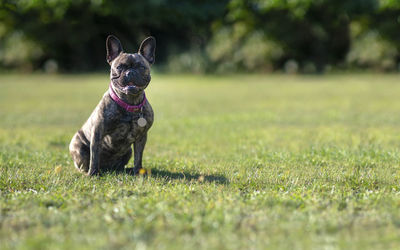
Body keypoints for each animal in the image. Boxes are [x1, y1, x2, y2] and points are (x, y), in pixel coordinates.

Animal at [69, 35, 156, 176]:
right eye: (120, 67)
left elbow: (139, 157)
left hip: (128, 152)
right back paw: (88, 172)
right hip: (77, 146)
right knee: (84, 163)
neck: (129, 103)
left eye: (141, 67)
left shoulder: (141, 137)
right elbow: (94, 156)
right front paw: (93, 174)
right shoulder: (97, 133)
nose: (130, 72)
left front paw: (138, 171)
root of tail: (107, 168)